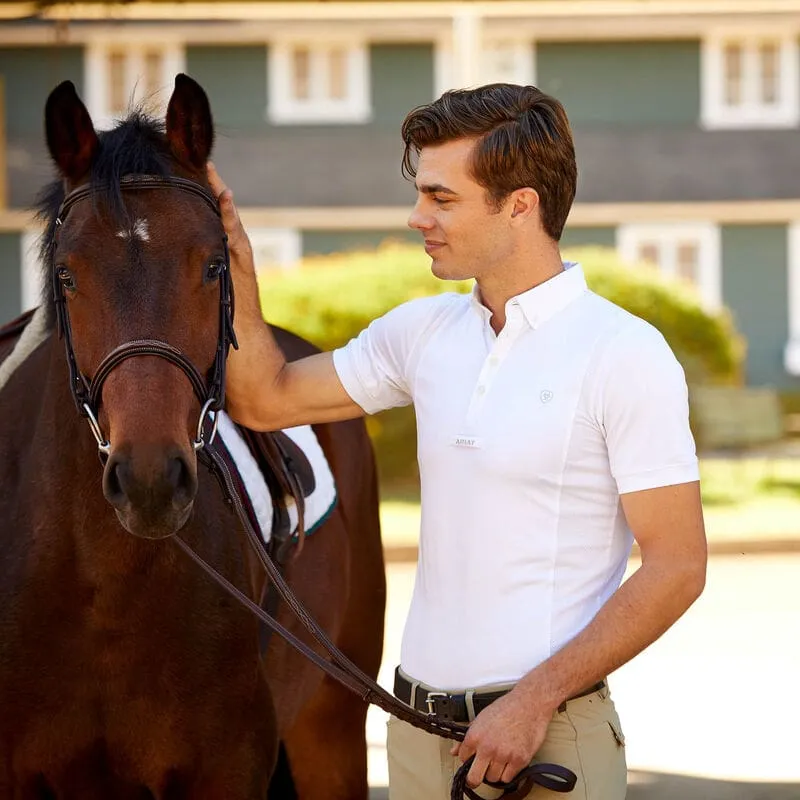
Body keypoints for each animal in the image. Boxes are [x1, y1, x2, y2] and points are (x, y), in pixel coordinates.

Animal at [0, 75, 388, 800]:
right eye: (67, 274)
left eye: (213, 265)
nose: (150, 480)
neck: (100, 590)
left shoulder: (225, 769)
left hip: (333, 732)